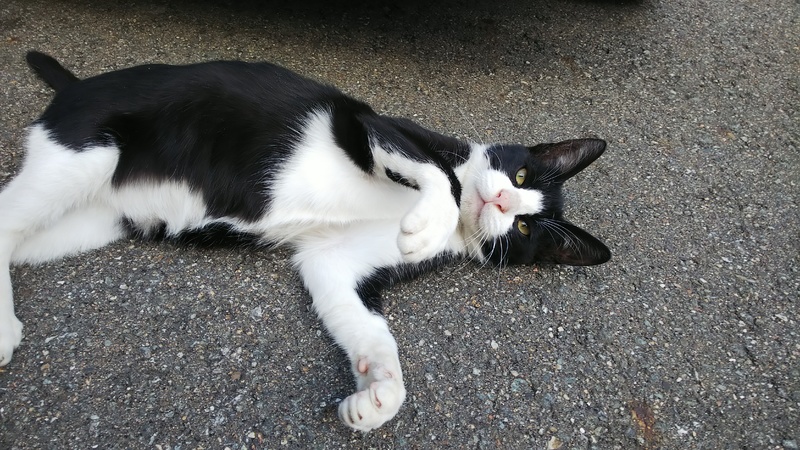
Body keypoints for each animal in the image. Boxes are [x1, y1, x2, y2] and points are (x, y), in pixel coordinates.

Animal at [0, 51, 610, 431]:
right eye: (523, 174)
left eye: (527, 229)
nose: (504, 203)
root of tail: (79, 85)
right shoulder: (371, 126)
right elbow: (442, 173)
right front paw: (427, 223)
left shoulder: (332, 265)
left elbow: (371, 334)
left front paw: (378, 394)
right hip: (87, 151)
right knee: (6, 216)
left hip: (93, 219)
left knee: (14, 237)